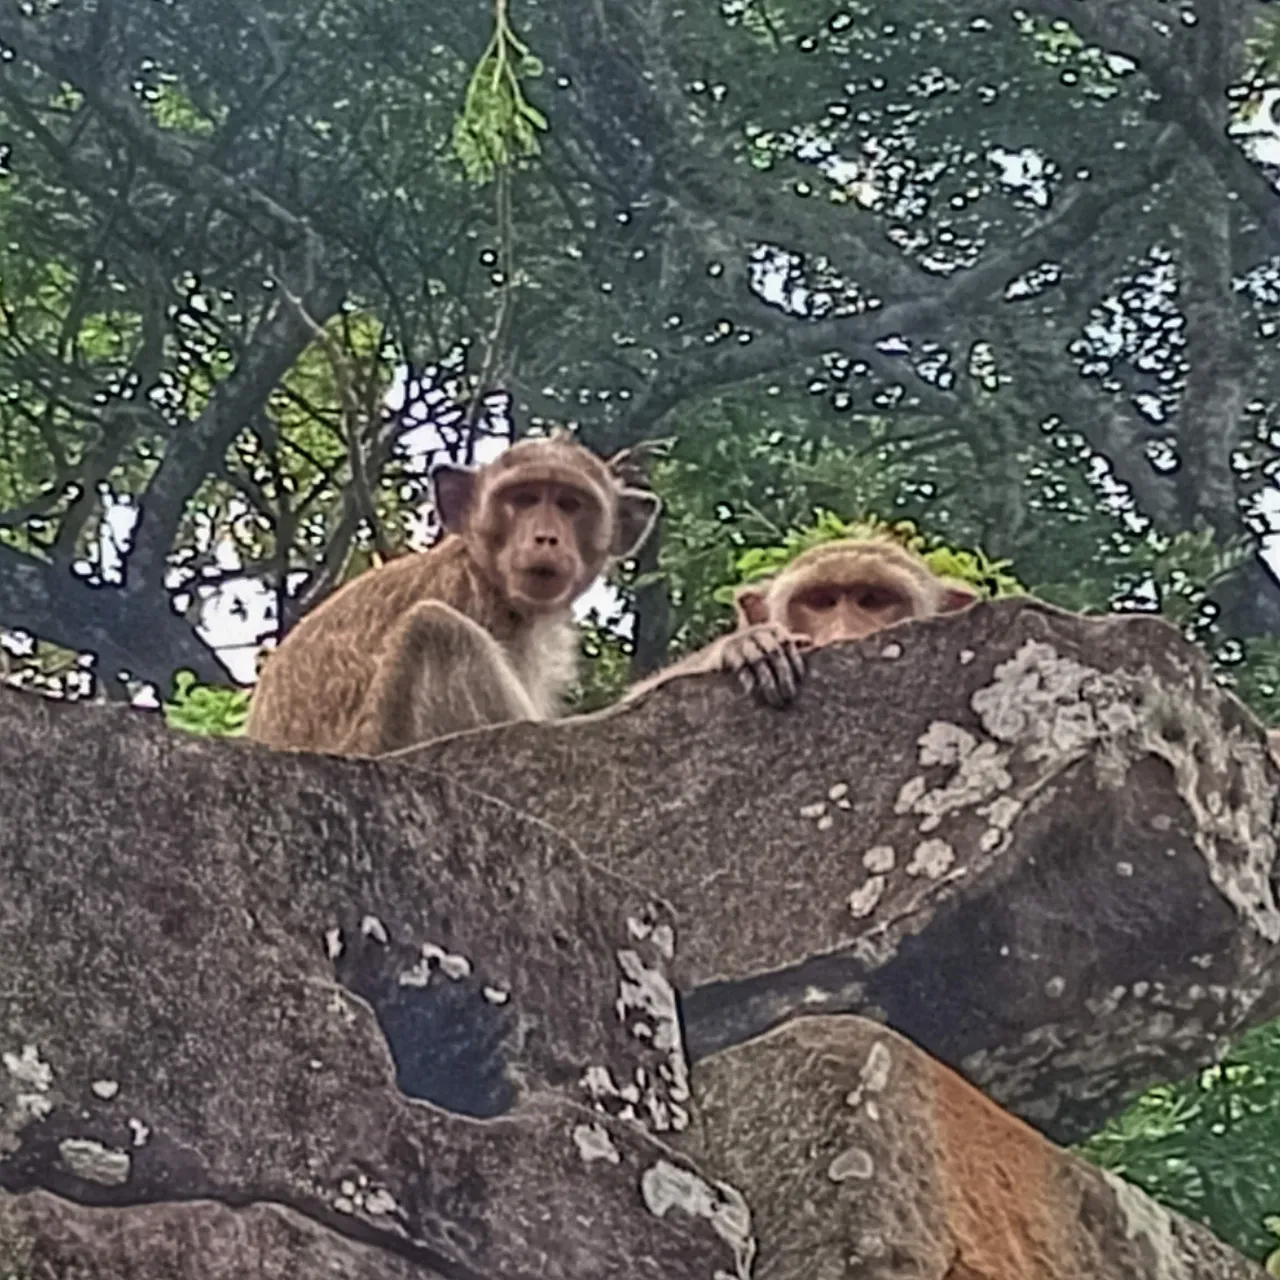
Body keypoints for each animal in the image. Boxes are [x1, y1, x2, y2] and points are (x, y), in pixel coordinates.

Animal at [244, 432, 660, 747]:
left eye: (570, 504)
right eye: (523, 498)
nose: (545, 537)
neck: (480, 567)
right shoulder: (477, 602)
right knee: (433, 626)